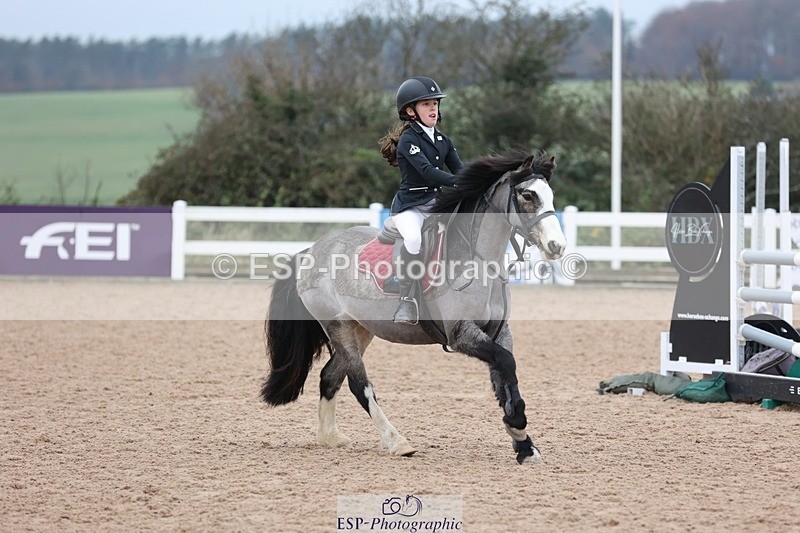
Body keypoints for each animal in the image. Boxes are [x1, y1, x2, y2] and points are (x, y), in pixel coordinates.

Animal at [260, 152, 566, 463]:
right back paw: (396, 441)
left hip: (360, 329)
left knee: (330, 376)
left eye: (550, 195)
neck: (479, 263)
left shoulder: (499, 332)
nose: (557, 246)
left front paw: (524, 445)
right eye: (528, 195)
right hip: (337, 326)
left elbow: (504, 375)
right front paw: (517, 425)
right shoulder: (461, 334)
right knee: (360, 385)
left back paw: (329, 437)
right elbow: (506, 363)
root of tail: (311, 251)